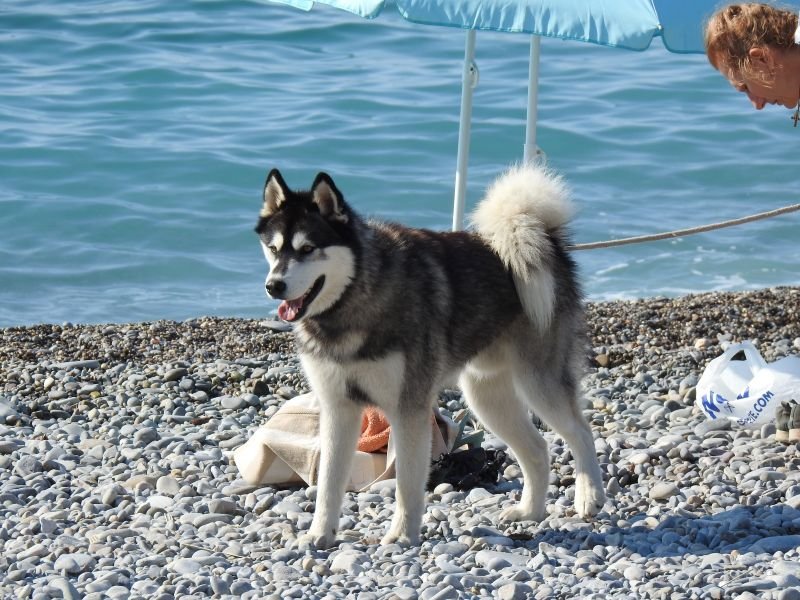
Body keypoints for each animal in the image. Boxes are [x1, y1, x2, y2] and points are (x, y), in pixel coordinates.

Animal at [254, 164, 605, 547]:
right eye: (273, 249)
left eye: (307, 249)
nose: (273, 286)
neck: (354, 298)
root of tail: (543, 236)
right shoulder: (338, 408)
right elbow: (328, 483)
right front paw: (321, 533)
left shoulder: (408, 409)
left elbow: (408, 483)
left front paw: (402, 534)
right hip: (486, 398)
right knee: (538, 449)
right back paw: (530, 512)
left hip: (538, 384)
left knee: (581, 432)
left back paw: (589, 497)